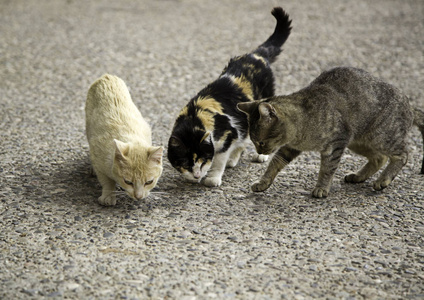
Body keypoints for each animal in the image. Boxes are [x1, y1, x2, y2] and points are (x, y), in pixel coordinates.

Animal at [85, 74, 163, 206]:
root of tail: (107, 76)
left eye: (149, 182)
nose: (138, 196)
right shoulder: (98, 157)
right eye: (128, 182)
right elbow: (107, 181)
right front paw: (108, 195)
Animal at [167, 7, 294, 188]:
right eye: (185, 163)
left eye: (203, 160)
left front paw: (213, 178)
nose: (197, 175)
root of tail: (256, 55)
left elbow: (219, 160)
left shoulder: (228, 135)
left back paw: (260, 155)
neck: (195, 117)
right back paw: (233, 160)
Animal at [238, 67, 424, 198]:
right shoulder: (290, 148)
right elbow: (274, 165)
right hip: (358, 142)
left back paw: (383, 180)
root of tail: (410, 106)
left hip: (381, 137)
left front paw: (321, 188)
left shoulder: (336, 143)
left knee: (402, 155)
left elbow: (327, 169)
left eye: (260, 142)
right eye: (253, 142)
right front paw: (263, 182)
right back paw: (358, 176)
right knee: (379, 158)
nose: (259, 151)